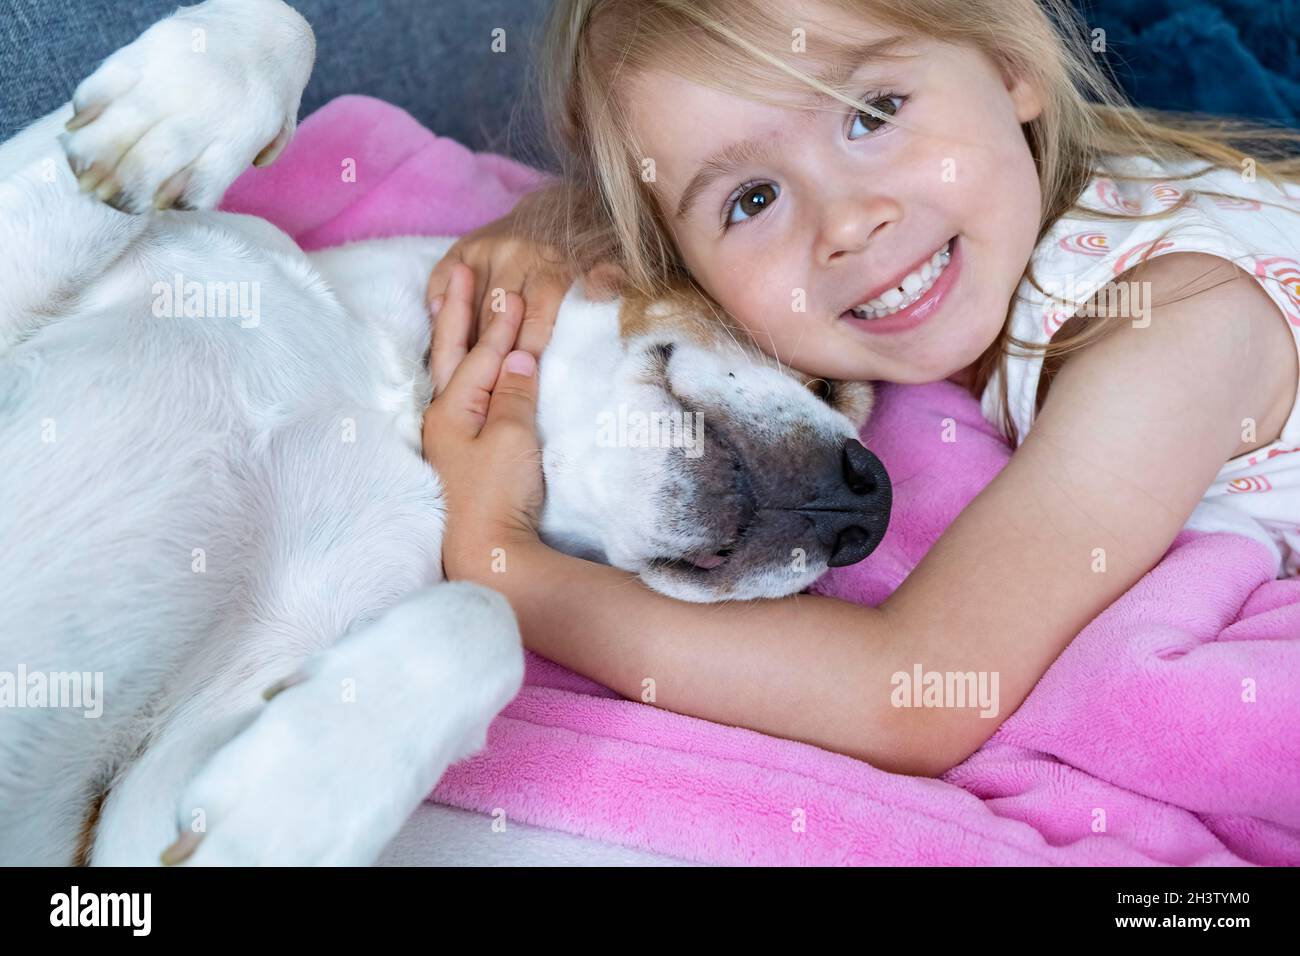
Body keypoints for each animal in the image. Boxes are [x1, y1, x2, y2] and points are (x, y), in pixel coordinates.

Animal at [0, 0, 894, 868]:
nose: (870, 505)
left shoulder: (134, 810)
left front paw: (295, 804)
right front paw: (170, 107)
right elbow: (287, 23)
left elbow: (484, 618)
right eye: (823, 383)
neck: (385, 378)